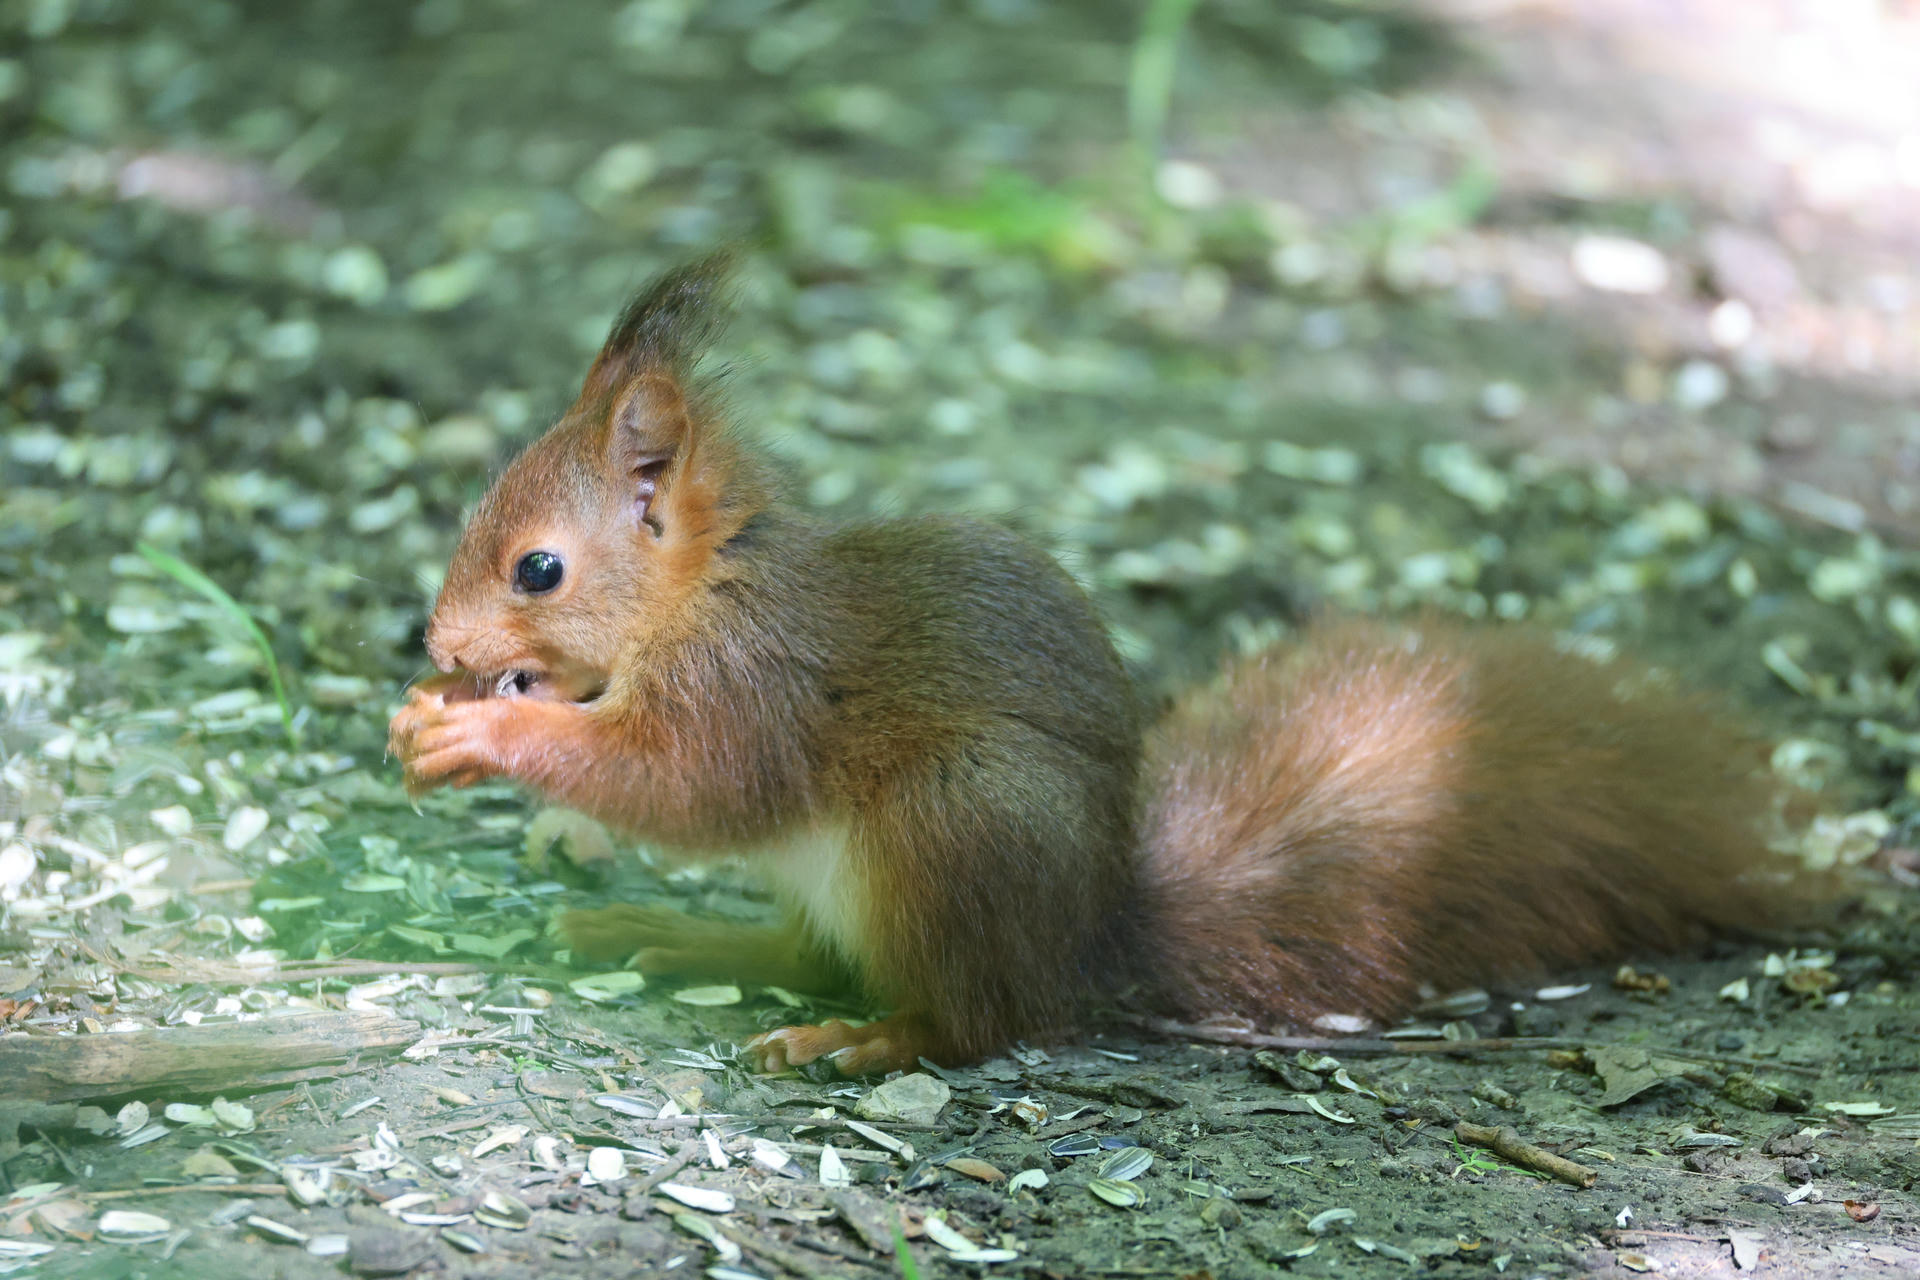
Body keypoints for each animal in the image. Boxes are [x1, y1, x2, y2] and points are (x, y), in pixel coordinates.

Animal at [389, 257, 1790, 1076]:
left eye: (538, 569)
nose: (442, 646)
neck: (700, 592)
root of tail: (1092, 932)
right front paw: (453, 712)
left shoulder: (753, 686)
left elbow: (684, 784)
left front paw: (481, 732)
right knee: (808, 946)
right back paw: (665, 930)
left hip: (957, 825)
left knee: (977, 1020)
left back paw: (859, 1035)